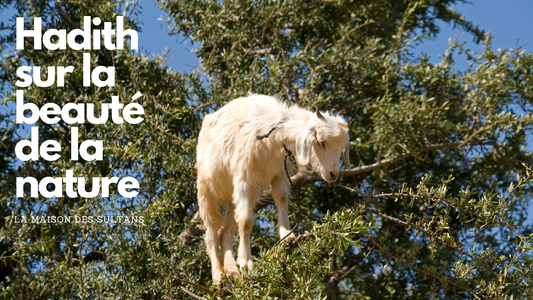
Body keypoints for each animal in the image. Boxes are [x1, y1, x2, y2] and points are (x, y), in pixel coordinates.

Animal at [195, 95, 350, 282]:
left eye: (341, 148)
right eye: (321, 142)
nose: (333, 174)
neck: (272, 137)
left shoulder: (279, 174)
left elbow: (282, 200)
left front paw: (286, 236)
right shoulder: (243, 179)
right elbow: (246, 222)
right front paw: (246, 263)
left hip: (232, 197)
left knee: (226, 231)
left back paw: (232, 270)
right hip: (205, 189)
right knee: (211, 234)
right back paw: (218, 275)